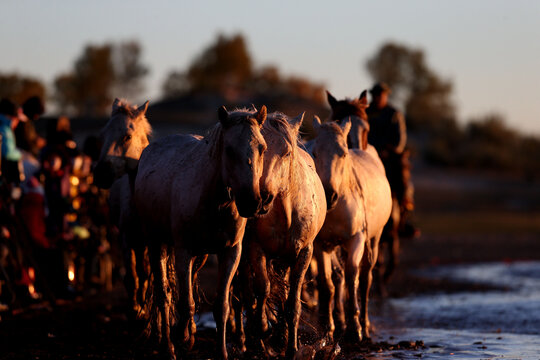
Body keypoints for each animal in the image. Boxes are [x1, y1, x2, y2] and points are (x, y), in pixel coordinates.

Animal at [93, 98, 151, 318]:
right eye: (102, 136)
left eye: (127, 136)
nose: (100, 174)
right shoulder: (127, 239)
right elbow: (132, 277)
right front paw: (136, 309)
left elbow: (146, 274)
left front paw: (144, 308)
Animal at [133, 105, 272, 358]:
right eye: (229, 149)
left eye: (262, 148)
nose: (252, 202)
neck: (214, 201)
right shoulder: (183, 251)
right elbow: (185, 301)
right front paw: (183, 337)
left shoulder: (230, 253)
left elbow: (221, 305)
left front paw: (221, 351)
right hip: (157, 243)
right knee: (163, 294)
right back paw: (168, 346)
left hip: (200, 255)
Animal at [238, 109, 326, 358]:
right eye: (259, 151)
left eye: (286, 153)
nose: (262, 198)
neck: (287, 213)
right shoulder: (256, 249)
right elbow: (263, 289)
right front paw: (264, 329)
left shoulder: (304, 253)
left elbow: (292, 304)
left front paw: (290, 346)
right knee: (246, 294)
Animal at [310, 116, 390, 344]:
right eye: (315, 153)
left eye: (343, 153)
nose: (329, 196)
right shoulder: (320, 244)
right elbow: (327, 283)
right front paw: (328, 328)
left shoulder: (357, 239)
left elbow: (352, 275)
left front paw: (355, 328)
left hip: (374, 239)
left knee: (365, 279)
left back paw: (365, 323)